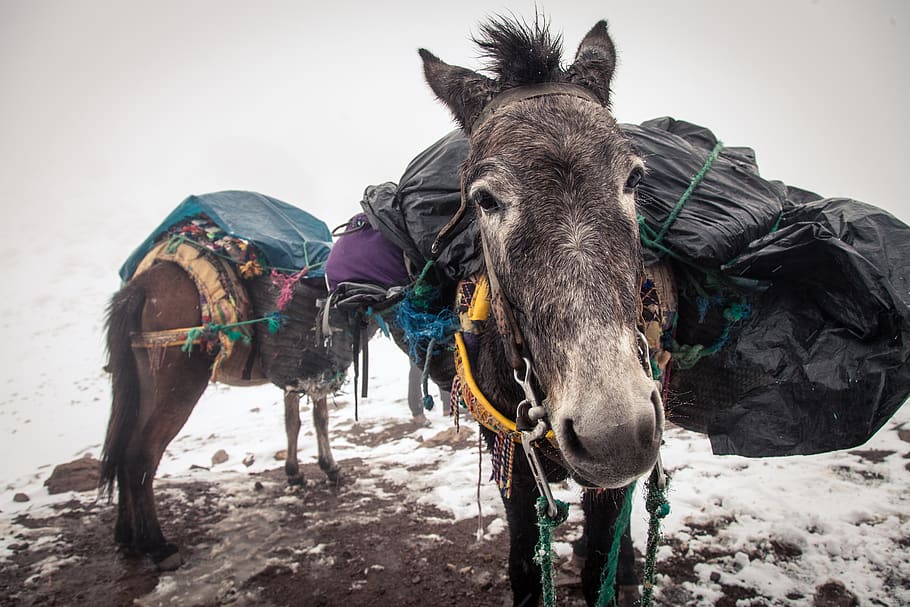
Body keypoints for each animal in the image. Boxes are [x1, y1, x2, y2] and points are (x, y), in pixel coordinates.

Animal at [100, 247, 364, 570]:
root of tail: (141, 287)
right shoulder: (316, 365)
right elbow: (320, 418)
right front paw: (331, 468)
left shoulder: (294, 372)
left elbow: (293, 421)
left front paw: (295, 473)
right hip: (178, 387)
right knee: (141, 454)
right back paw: (158, 546)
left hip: (141, 384)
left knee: (122, 448)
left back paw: (127, 537)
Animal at [416, 16, 665, 605]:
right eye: (485, 200)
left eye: (635, 179)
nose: (615, 434)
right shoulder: (512, 459)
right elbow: (525, 564)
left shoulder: (611, 485)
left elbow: (600, 563)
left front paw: (611, 572)